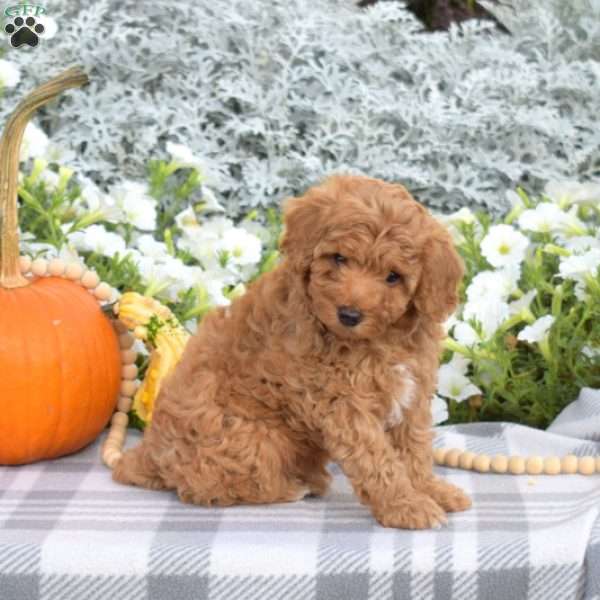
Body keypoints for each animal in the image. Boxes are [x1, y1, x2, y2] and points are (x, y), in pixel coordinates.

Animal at [110, 175, 472, 528]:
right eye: (339, 258)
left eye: (393, 277)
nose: (349, 315)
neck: (379, 341)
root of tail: (148, 454)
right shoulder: (342, 403)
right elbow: (377, 459)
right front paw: (406, 506)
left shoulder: (412, 393)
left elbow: (415, 450)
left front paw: (432, 490)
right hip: (254, 438)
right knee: (205, 487)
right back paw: (294, 487)